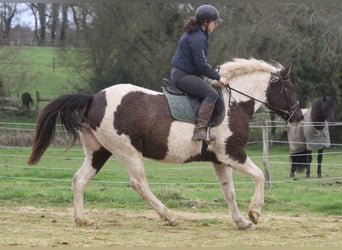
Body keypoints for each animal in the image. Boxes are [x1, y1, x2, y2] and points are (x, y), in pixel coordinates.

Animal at [28, 57, 304, 229]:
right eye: (290, 88)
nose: (298, 117)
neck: (234, 104)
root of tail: (94, 98)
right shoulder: (232, 153)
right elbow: (259, 176)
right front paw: (255, 213)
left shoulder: (220, 160)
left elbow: (229, 192)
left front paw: (242, 222)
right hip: (127, 151)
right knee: (139, 183)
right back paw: (170, 216)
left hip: (100, 151)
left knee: (80, 179)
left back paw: (82, 220)